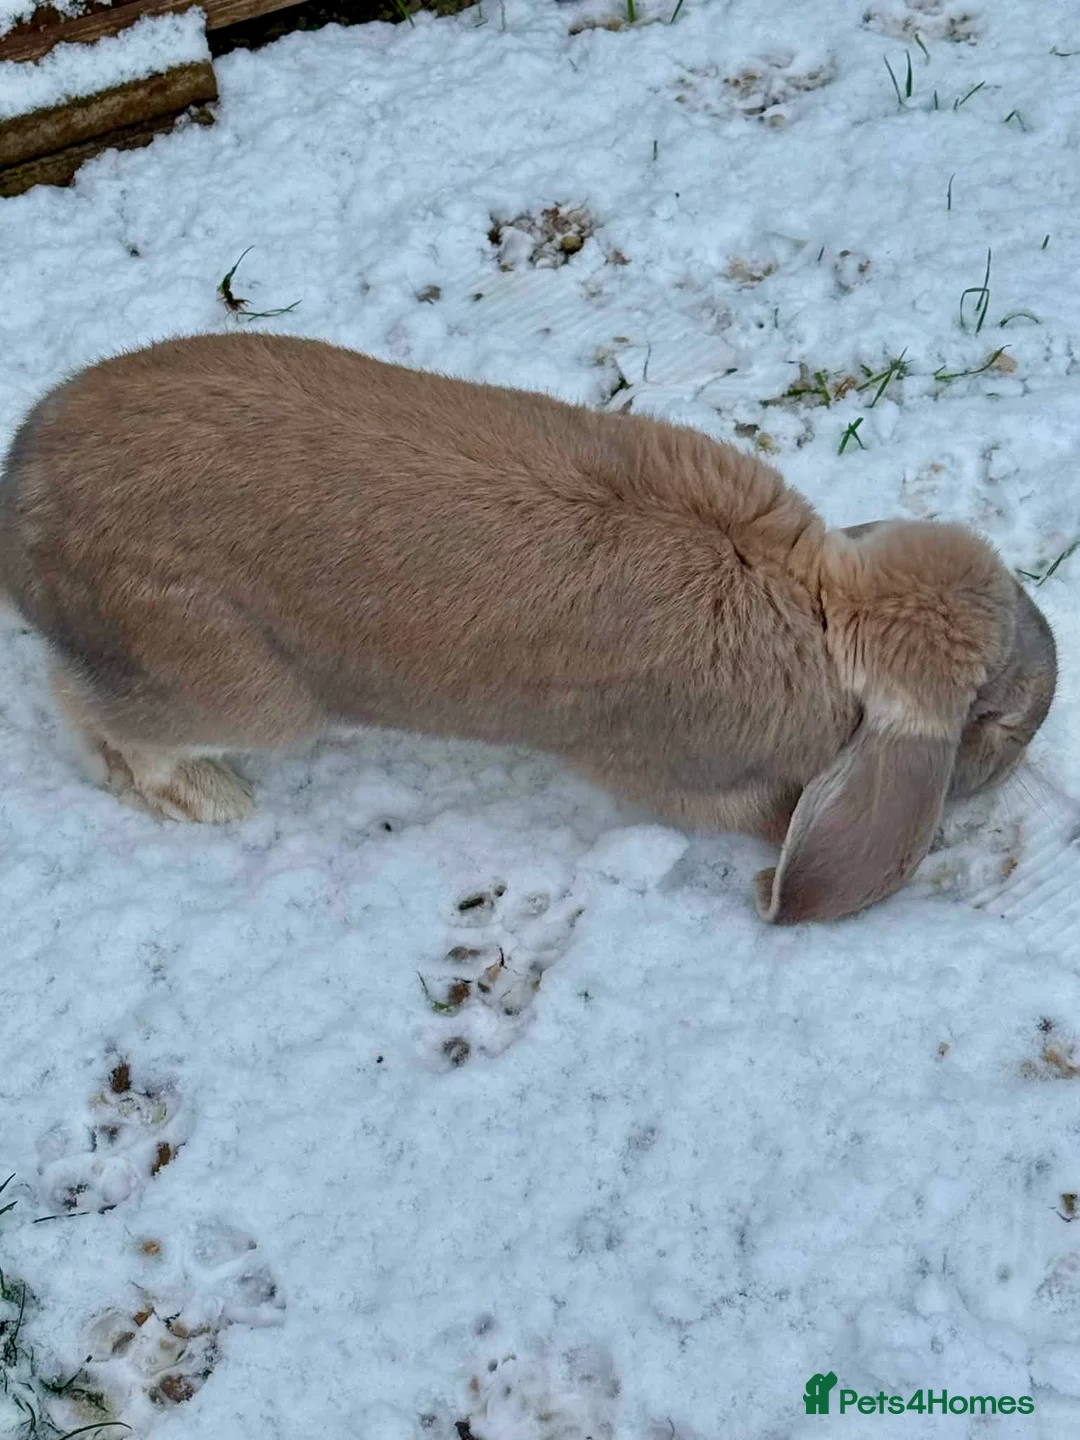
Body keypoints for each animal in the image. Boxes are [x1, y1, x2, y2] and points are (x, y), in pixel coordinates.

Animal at [0, 332, 1056, 923]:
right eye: (998, 718)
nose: (1033, 734)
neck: (826, 610)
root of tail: (24, 503)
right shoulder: (685, 778)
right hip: (239, 689)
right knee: (109, 727)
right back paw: (213, 800)